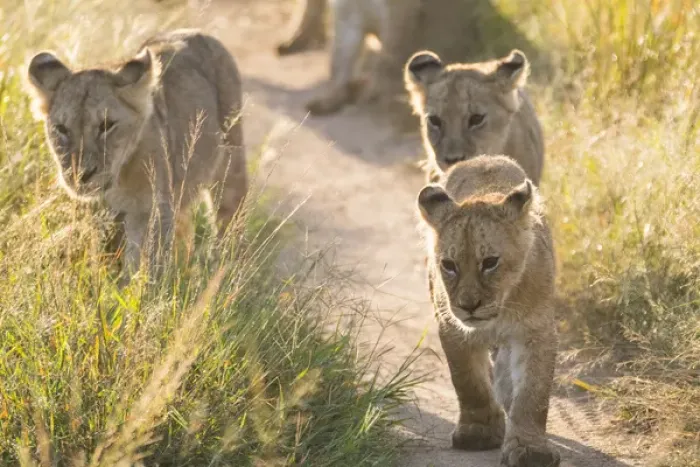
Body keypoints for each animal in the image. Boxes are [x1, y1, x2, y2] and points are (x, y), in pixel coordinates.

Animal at [26, 29, 248, 282]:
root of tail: (197, 32)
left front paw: (137, 290)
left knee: (229, 217)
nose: (81, 174)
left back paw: (225, 266)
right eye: (62, 129)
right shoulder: (101, 215)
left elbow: (146, 262)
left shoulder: (151, 210)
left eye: (106, 125)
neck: (117, 181)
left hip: (230, 165)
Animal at [276, 0, 539, 121]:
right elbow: (340, 61)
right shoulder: (347, 14)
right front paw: (328, 100)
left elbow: (390, 59)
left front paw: (371, 95)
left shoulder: (398, 14)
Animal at [417, 155, 560, 467]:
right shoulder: (453, 328)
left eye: (490, 262)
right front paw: (479, 432)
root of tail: (481, 157)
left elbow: (533, 393)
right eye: (449, 265)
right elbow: (468, 382)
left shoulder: (537, 329)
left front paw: (530, 449)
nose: (469, 305)